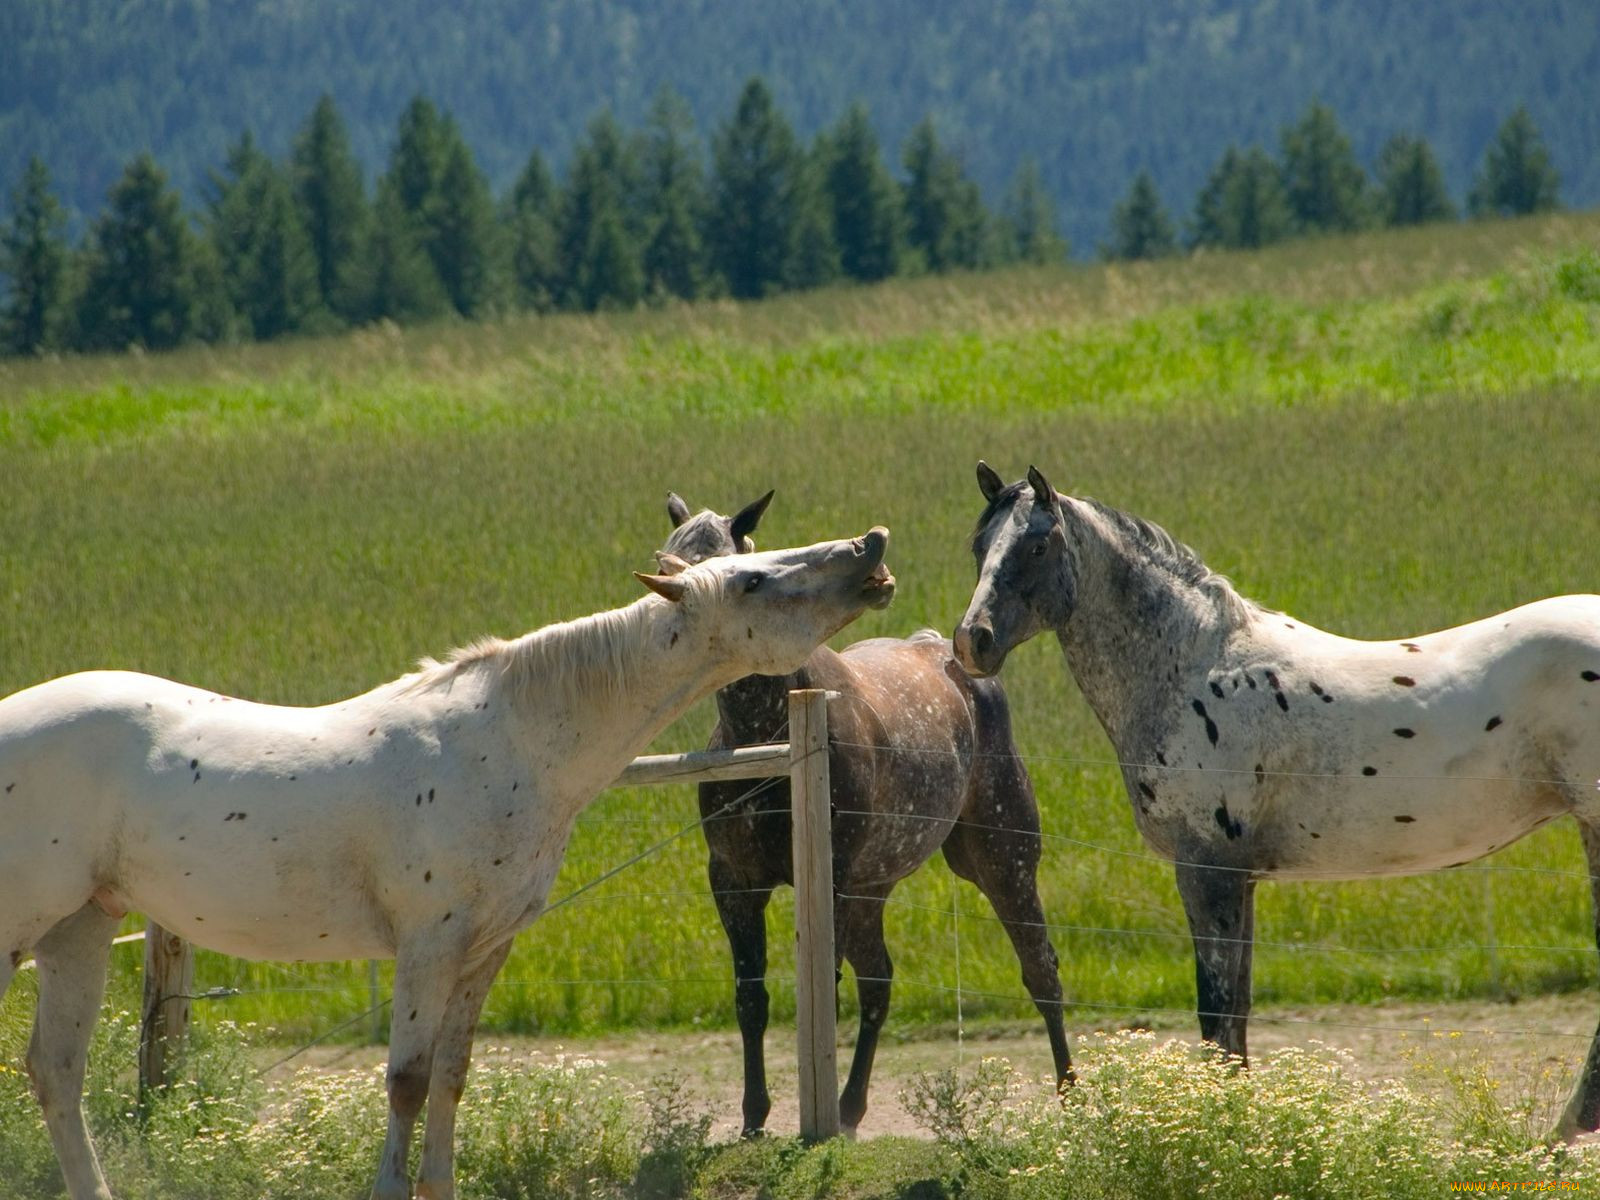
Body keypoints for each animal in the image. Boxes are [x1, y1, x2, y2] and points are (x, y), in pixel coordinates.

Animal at [0, 531, 896, 1200]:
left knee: (57, 1073)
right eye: (751, 579)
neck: (507, 741)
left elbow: (452, 1076)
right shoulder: (427, 946)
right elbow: (406, 1077)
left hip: (79, 930)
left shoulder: (483, 949)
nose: (871, 548)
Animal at [662, 489, 1075, 1139]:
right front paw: (754, 1119)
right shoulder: (734, 881)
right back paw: (850, 1107)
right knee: (878, 982)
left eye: (735, 570)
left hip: (1001, 863)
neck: (768, 736)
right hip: (869, 889)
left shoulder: (822, 882)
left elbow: (821, 997)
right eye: (668, 559)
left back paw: (1070, 1093)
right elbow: (752, 999)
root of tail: (951, 655)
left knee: (1041, 972)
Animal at [947, 460, 1600, 1139]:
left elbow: (1216, 1016)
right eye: (978, 545)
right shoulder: (1242, 878)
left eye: (1037, 546)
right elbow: (1236, 1017)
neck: (1196, 669)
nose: (971, 642)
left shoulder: (1207, 869)